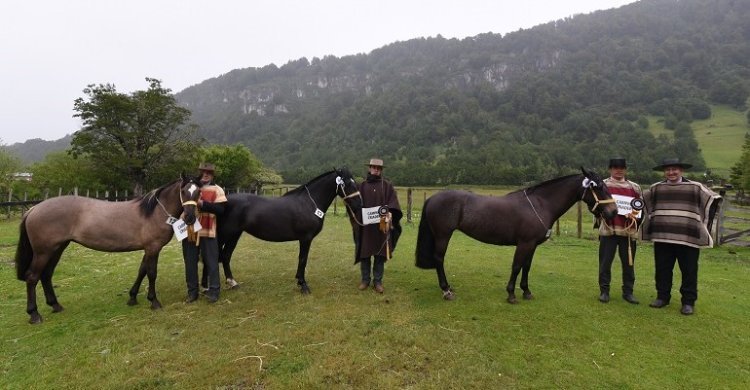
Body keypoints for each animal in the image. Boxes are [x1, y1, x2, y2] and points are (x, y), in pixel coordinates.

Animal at [15, 175, 203, 324]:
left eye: (198, 192)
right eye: (184, 191)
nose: (190, 218)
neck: (154, 212)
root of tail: (34, 209)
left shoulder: (147, 249)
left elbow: (141, 271)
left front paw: (132, 297)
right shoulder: (153, 248)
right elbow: (151, 273)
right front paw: (154, 301)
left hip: (57, 249)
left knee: (46, 275)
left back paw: (55, 305)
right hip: (43, 252)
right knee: (32, 277)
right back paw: (34, 314)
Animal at [216, 167, 362, 292]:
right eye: (347, 184)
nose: (359, 205)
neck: (309, 204)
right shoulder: (305, 238)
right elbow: (303, 259)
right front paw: (303, 285)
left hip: (234, 235)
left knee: (226, 255)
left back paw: (233, 283)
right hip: (225, 234)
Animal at [414, 167, 620, 302]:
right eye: (598, 187)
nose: (613, 212)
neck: (540, 204)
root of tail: (432, 198)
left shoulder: (532, 245)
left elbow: (526, 267)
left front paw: (526, 291)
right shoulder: (524, 243)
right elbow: (516, 266)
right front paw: (511, 294)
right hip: (443, 235)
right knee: (439, 259)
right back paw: (446, 290)